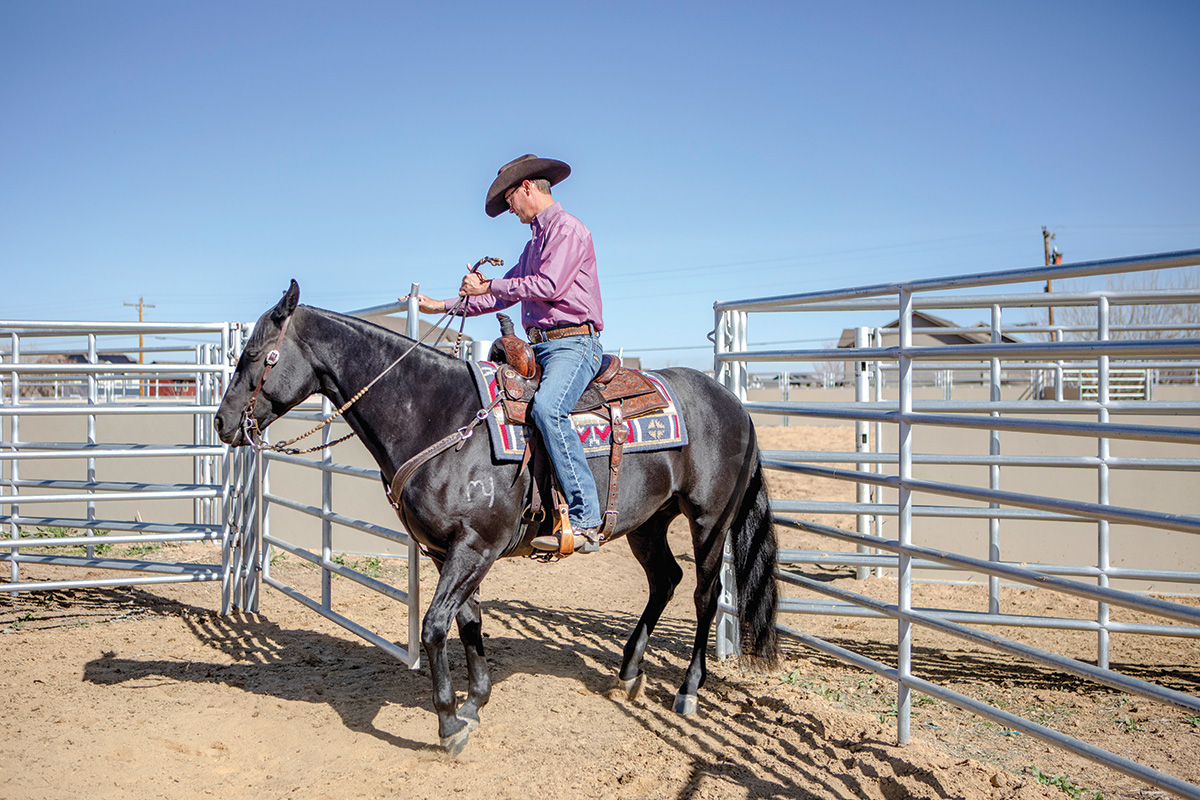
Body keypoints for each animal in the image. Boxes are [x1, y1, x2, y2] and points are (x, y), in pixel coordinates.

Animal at [214, 283, 777, 758]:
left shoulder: (475, 546)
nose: (222, 423)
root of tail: (733, 404)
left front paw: (447, 723)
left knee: (705, 595)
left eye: (254, 355)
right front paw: (473, 703)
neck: (439, 416)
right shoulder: (448, 550)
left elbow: (435, 625)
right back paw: (629, 671)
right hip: (648, 522)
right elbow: (467, 621)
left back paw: (687, 690)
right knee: (665, 578)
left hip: (709, 520)